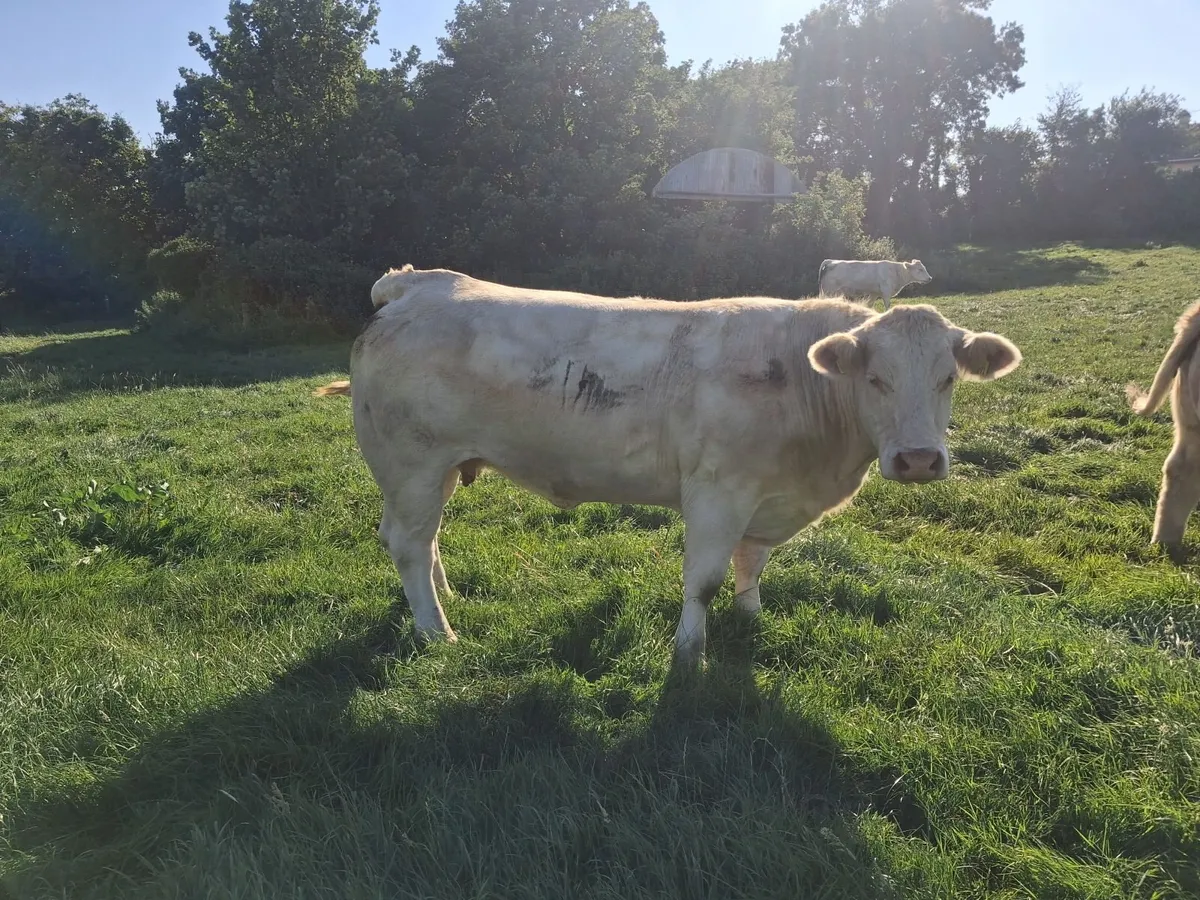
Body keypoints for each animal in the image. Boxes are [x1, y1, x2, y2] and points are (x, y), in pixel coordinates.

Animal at [316, 265, 1021, 668]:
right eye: (875, 379)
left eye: (948, 377)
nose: (919, 459)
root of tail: (417, 284)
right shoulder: (717, 490)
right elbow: (703, 579)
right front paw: (690, 654)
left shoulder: (765, 498)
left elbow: (751, 563)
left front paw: (751, 618)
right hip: (412, 461)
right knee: (409, 542)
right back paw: (437, 632)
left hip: (435, 468)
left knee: (424, 539)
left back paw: (447, 598)